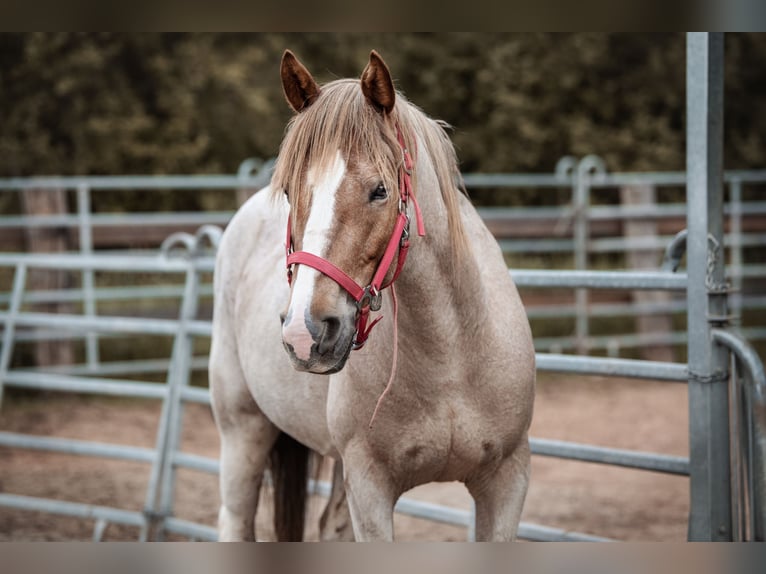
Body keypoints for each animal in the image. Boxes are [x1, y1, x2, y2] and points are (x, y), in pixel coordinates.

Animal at [207, 50, 536, 544]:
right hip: (242, 429)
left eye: (380, 190)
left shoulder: (506, 482)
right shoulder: (369, 488)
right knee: (236, 519)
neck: (453, 356)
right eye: (288, 192)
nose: (305, 333)